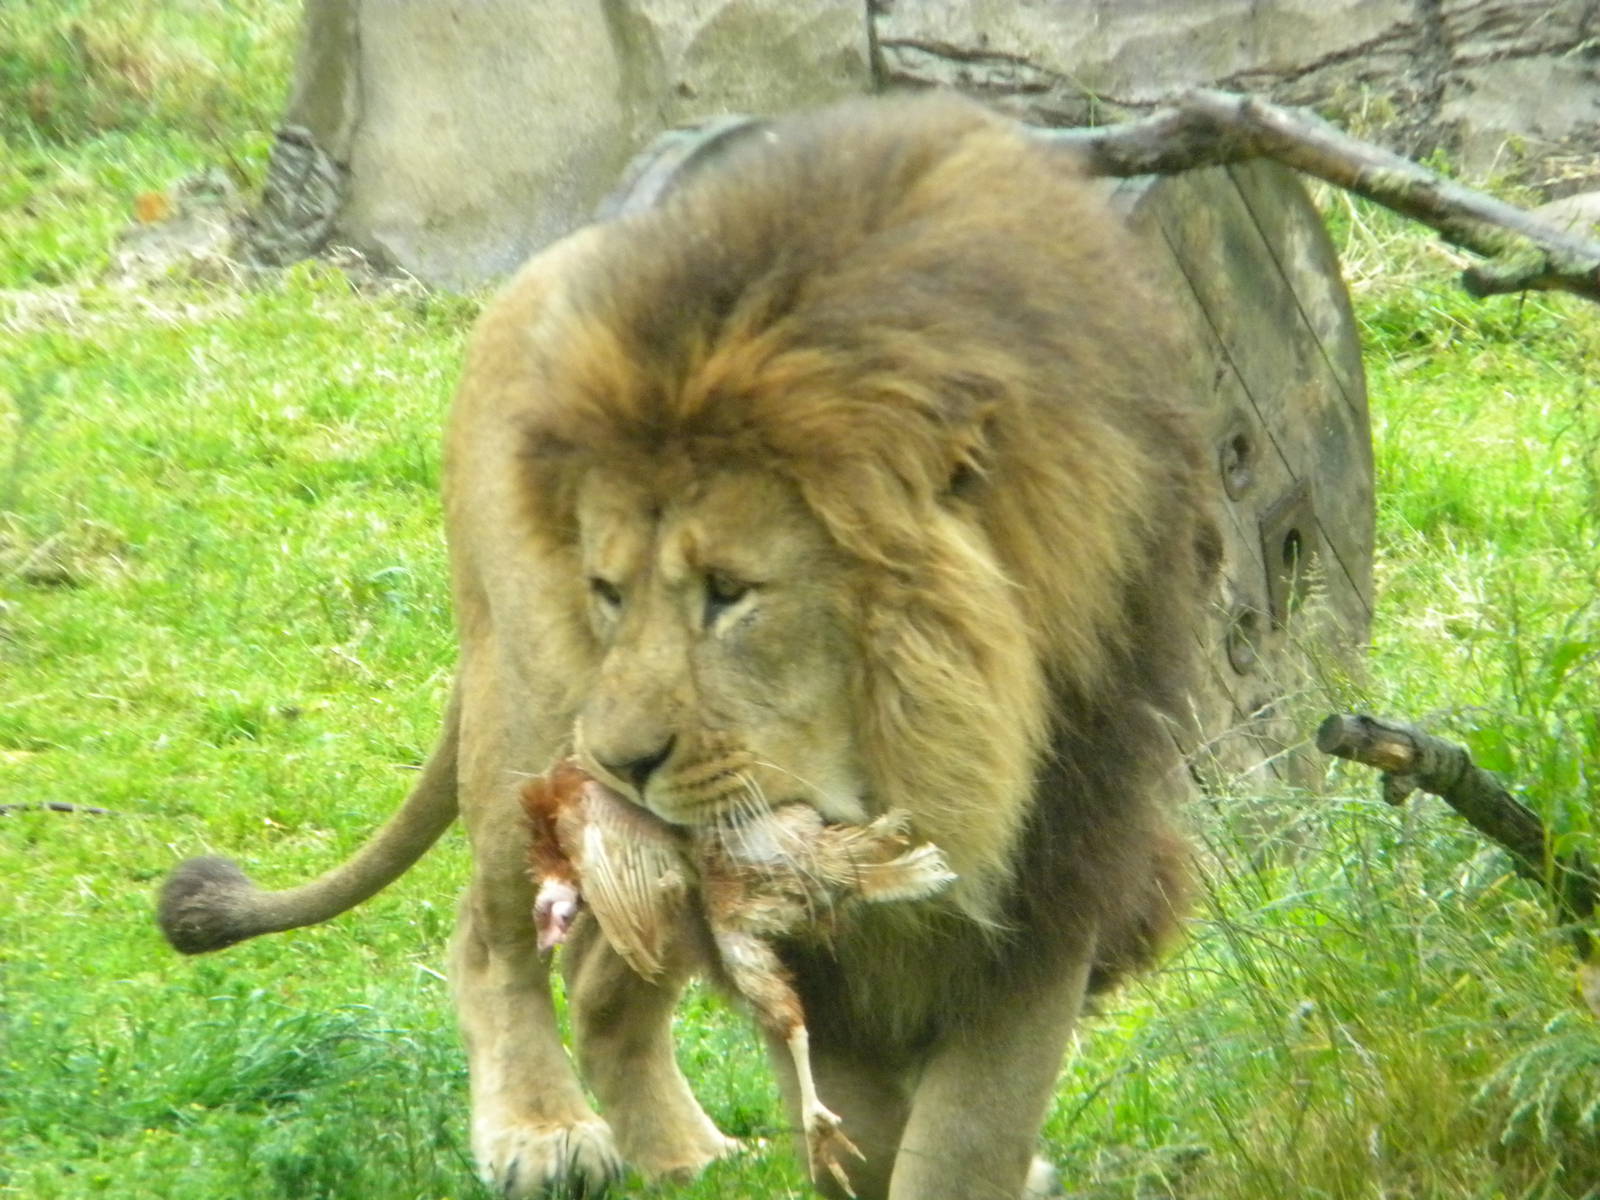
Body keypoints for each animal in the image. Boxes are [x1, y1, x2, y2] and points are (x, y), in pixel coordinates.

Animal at [157, 93, 1220, 1200]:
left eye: (729, 594)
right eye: (608, 592)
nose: (620, 763)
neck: (918, 766)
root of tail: (535, 268)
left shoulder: (1061, 862)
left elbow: (974, 1124)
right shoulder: (799, 935)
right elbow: (866, 1112)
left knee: (600, 982)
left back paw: (680, 1152)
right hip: (527, 718)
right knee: (491, 937)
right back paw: (541, 1133)